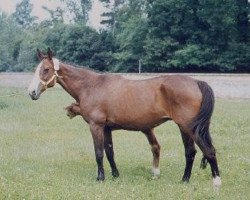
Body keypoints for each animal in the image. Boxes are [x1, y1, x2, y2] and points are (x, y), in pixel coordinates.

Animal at [28, 48, 222, 188]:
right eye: (36, 70)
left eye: (46, 70)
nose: (32, 92)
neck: (91, 86)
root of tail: (196, 82)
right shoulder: (107, 128)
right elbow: (110, 152)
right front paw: (115, 175)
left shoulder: (96, 126)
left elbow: (98, 153)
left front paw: (100, 177)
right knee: (192, 152)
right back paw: (185, 180)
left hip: (187, 127)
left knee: (205, 151)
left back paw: (215, 181)